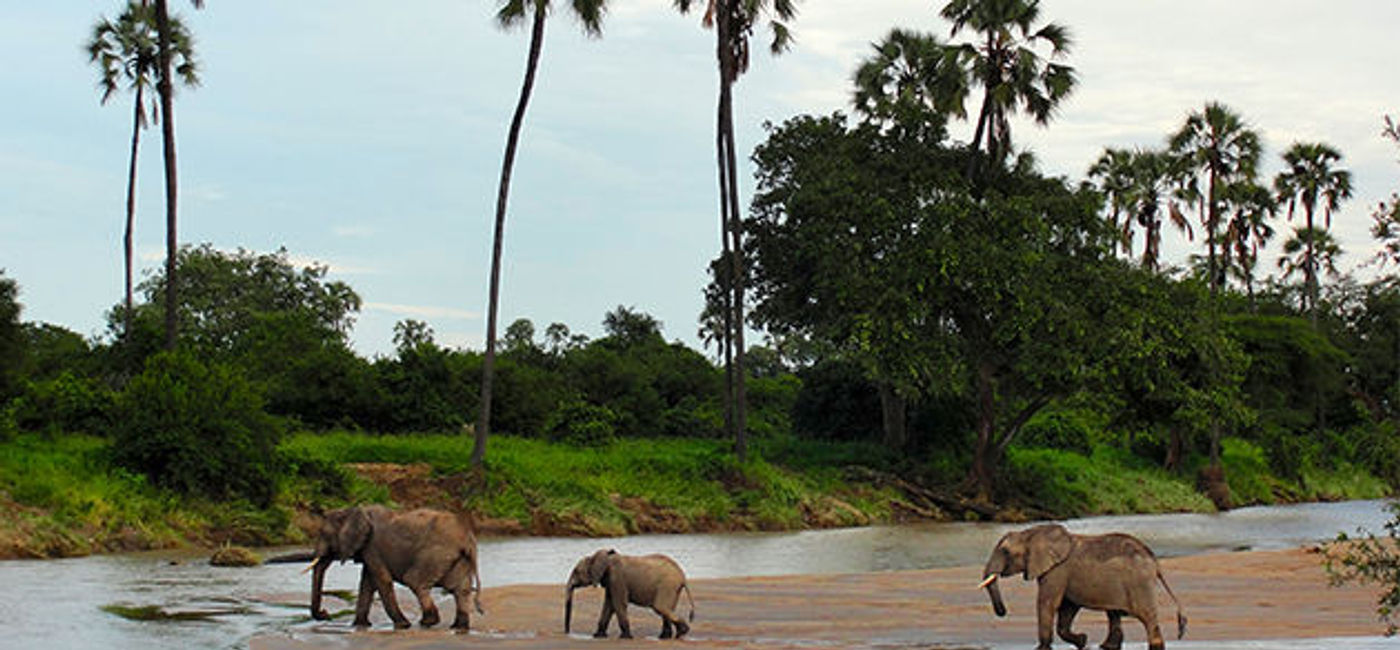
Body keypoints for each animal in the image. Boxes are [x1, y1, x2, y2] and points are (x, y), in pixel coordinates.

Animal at [306, 505, 482, 630]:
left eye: (324, 534)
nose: (325, 614)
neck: (351, 511)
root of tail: (468, 538)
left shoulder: (373, 546)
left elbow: (382, 581)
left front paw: (403, 625)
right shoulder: (369, 550)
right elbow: (367, 583)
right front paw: (360, 626)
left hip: (436, 554)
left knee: (414, 581)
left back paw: (427, 622)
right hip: (459, 558)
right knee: (460, 589)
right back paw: (458, 627)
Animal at [564, 549, 695, 639]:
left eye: (576, 571)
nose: (567, 632)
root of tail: (682, 575)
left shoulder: (617, 579)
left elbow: (618, 604)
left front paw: (625, 637)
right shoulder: (611, 581)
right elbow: (609, 605)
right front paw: (598, 636)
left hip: (667, 585)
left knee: (660, 607)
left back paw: (681, 632)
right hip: (672, 587)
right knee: (666, 608)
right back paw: (665, 637)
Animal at [979, 524, 1186, 650]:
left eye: (1005, 552)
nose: (1003, 612)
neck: (1032, 532)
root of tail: (1154, 560)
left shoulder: (1058, 570)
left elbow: (1048, 603)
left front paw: (1041, 648)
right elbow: (1067, 608)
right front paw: (1083, 641)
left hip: (1139, 584)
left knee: (1147, 617)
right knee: (1114, 614)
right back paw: (1106, 646)